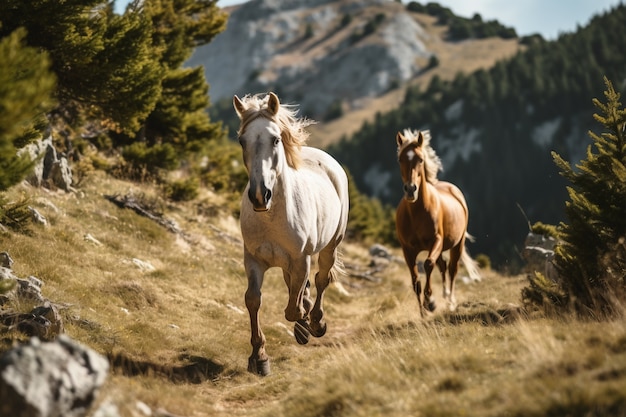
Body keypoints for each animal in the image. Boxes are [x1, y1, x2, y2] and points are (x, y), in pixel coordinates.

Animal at [232, 91, 348, 374]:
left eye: (275, 139)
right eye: (242, 140)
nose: (259, 195)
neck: (271, 216)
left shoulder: (300, 259)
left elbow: (293, 309)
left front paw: (305, 321)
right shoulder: (253, 259)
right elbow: (253, 300)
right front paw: (259, 357)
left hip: (330, 246)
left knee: (321, 279)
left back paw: (315, 323)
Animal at [394, 127, 478, 316]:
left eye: (420, 159)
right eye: (400, 159)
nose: (410, 190)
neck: (416, 213)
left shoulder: (436, 241)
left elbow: (428, 264)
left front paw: (430, 302)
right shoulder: (407, 250)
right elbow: (415, 280)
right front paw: (423, 312)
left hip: (457, 244)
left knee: (452, 269)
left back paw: (451, 301)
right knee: (443, 266)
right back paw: (445, 296)